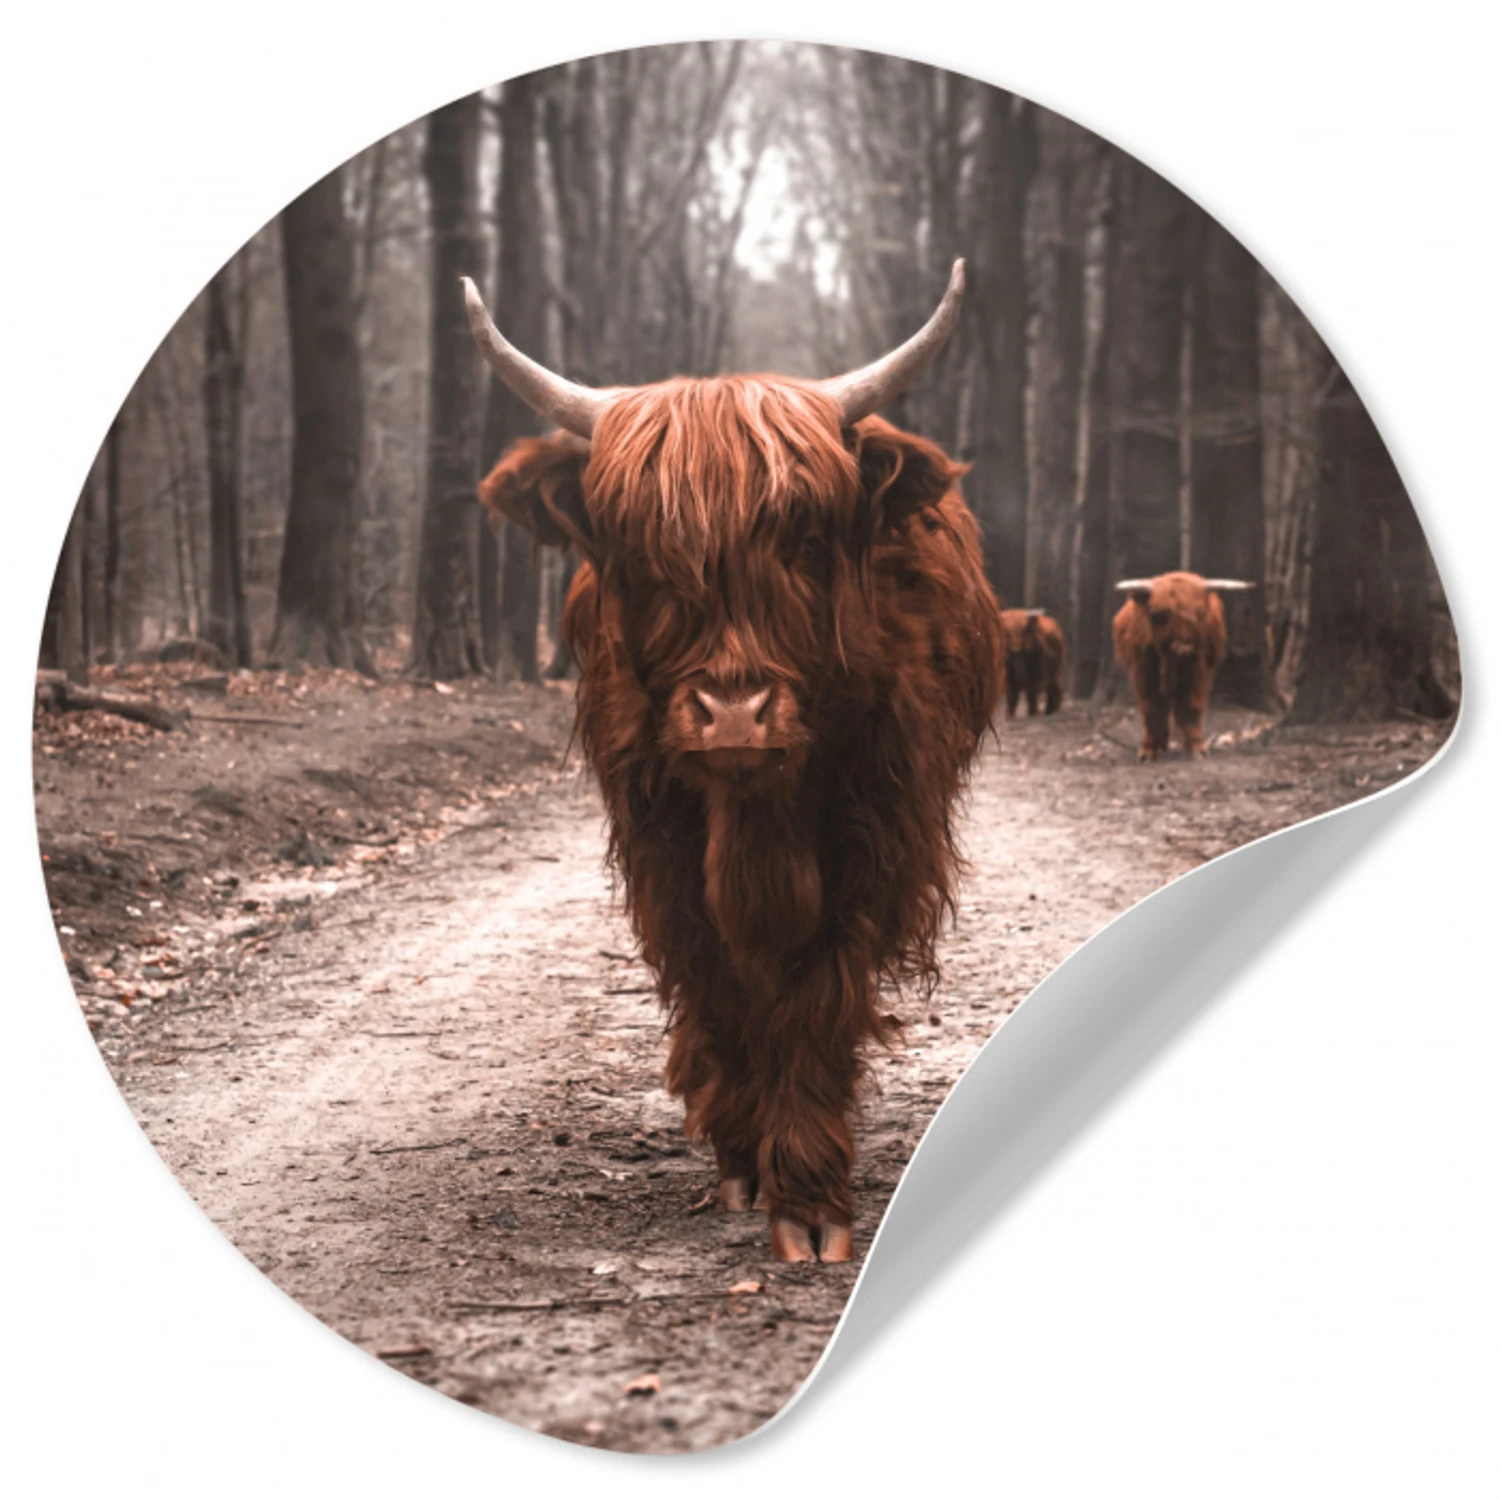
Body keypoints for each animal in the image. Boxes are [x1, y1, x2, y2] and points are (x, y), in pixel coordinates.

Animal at [464, 261, 1004, 1262]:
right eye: (641, 554)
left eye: (804, 542)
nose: (734, 715)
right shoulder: (660, 843)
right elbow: (717, 980)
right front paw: (745, 1159)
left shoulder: (874, 835)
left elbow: (817, 990)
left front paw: (810, 1197)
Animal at [1111, 571, 1254, 761]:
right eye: (1159, 615)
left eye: (1200, 614)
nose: (1184, 648)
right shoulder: (1143, 672)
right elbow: (1151, 708)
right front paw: (1148, 751)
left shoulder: (1198, 671)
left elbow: (1191, 707)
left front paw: (1196, 748)